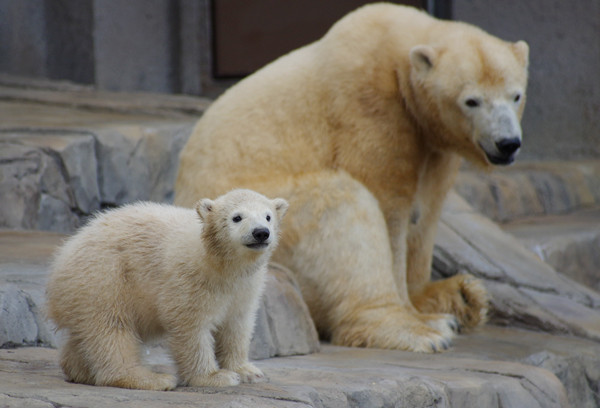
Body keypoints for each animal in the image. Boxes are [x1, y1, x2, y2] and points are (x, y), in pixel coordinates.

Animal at [176, 3, 528, 352]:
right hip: (265, 223)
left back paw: (463, 297)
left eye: (516, 96)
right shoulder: (370, 106)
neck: (397, 48)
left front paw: (430, 303)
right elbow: (387, 204)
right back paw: (413, 330)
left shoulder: (432, 145)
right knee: (343, 207)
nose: (507, 143)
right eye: (471, 100)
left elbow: (426, 212)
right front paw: (422, 319)